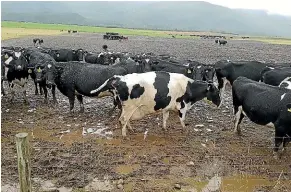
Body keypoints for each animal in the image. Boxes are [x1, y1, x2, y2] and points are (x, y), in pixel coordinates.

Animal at [90, 71, 221, 136]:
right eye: (216, 91)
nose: (220, 103)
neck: (189, 87)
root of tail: (120, 78)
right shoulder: (182, 106)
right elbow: (182, 120)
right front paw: (185, 130)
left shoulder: (167, 107)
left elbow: (165, 118)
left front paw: (164, 128)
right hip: (129, 107)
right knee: (123, 119)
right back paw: (124, 135)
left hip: (126, 107)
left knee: (124, 119)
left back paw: (131, 130)